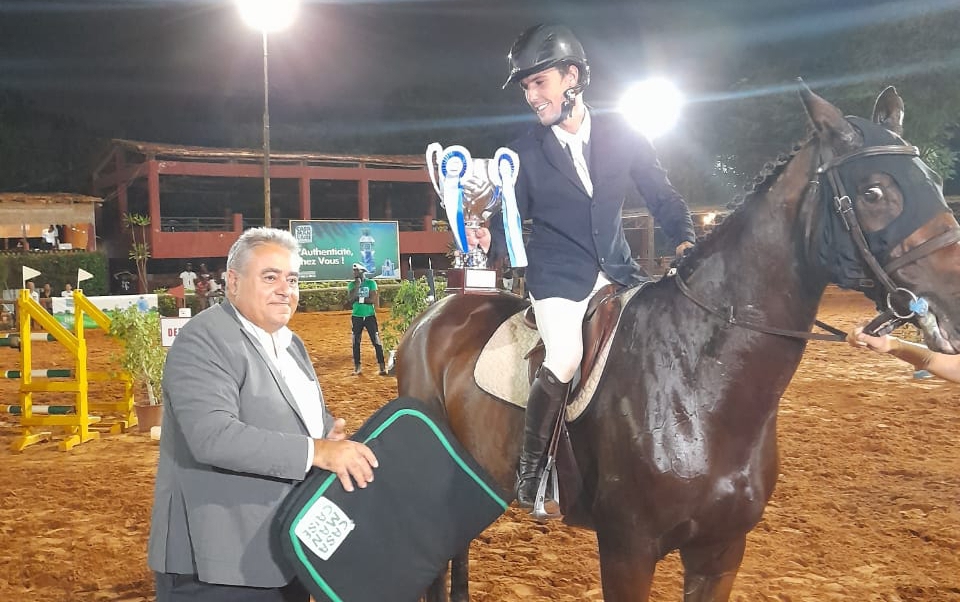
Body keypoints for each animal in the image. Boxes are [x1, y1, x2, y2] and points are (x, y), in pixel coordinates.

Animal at [394, 84, 960, 600]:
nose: (953, 302)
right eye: (874, 192)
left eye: (935, 181)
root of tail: (433, 316)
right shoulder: (628, 550)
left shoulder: (721, 551)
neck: (699, 383)